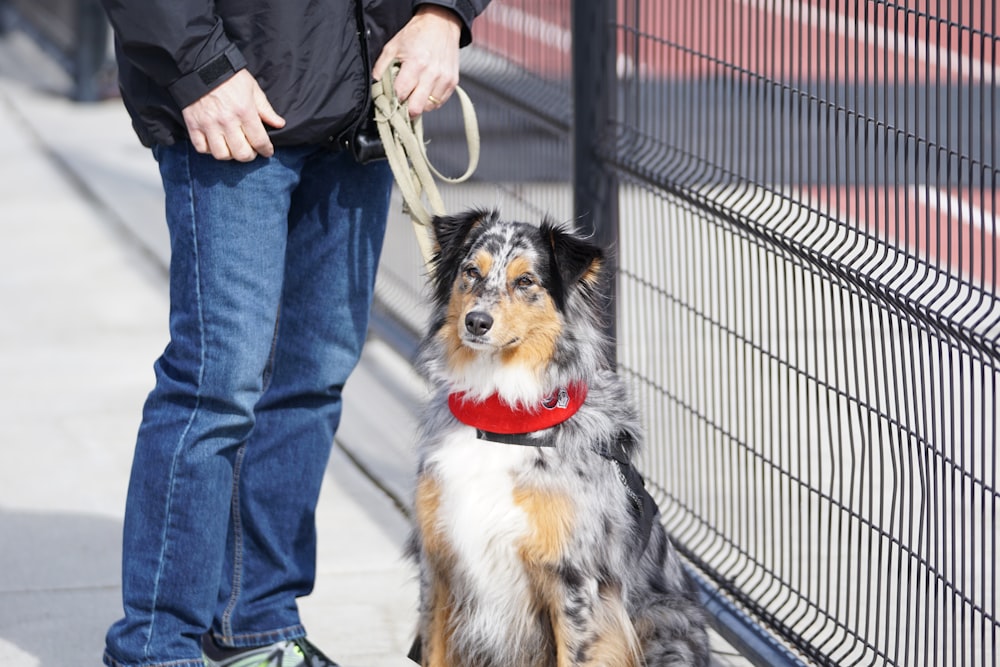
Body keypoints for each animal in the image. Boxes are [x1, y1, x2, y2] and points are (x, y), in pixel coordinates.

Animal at [406, 210, 712, 667]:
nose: (476, 322)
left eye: (525, 281)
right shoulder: (438, 565)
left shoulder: (574, 583)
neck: (502, 420)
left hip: (665, 625)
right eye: (471, 271)